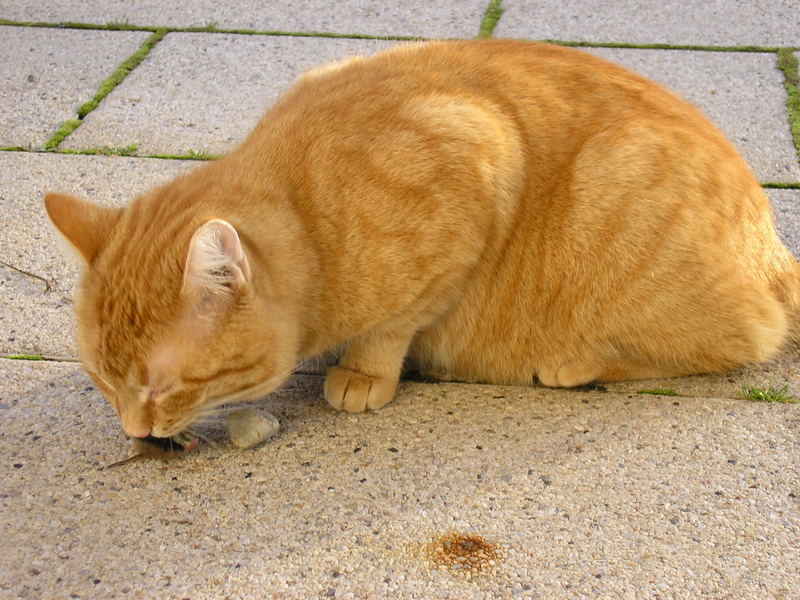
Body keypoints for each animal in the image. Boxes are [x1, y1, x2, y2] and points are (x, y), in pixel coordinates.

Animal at [45, 38, 800, 440]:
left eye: (163, 385)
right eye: (102, 379)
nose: (134, 433)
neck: (312, 215)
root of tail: (775, 247)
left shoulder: (476, 156)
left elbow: (394, 322)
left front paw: (364, 370)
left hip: (621, 189)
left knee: (744, 338)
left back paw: (574, 361)